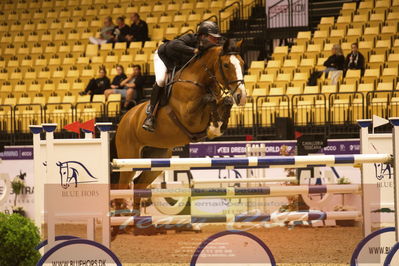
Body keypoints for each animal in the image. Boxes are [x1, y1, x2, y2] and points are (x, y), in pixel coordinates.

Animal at [112, 38, 248, 218]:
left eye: (242, 63)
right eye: (226, 65)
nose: (242, 96)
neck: (200, 80)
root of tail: (124, 119)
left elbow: (223, 103)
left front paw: (216, 124)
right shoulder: (189, 116)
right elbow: (209, 100)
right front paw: (213, 123)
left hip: (158, 158)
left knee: (138, 184)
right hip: (129, 158)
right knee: (122, 186)